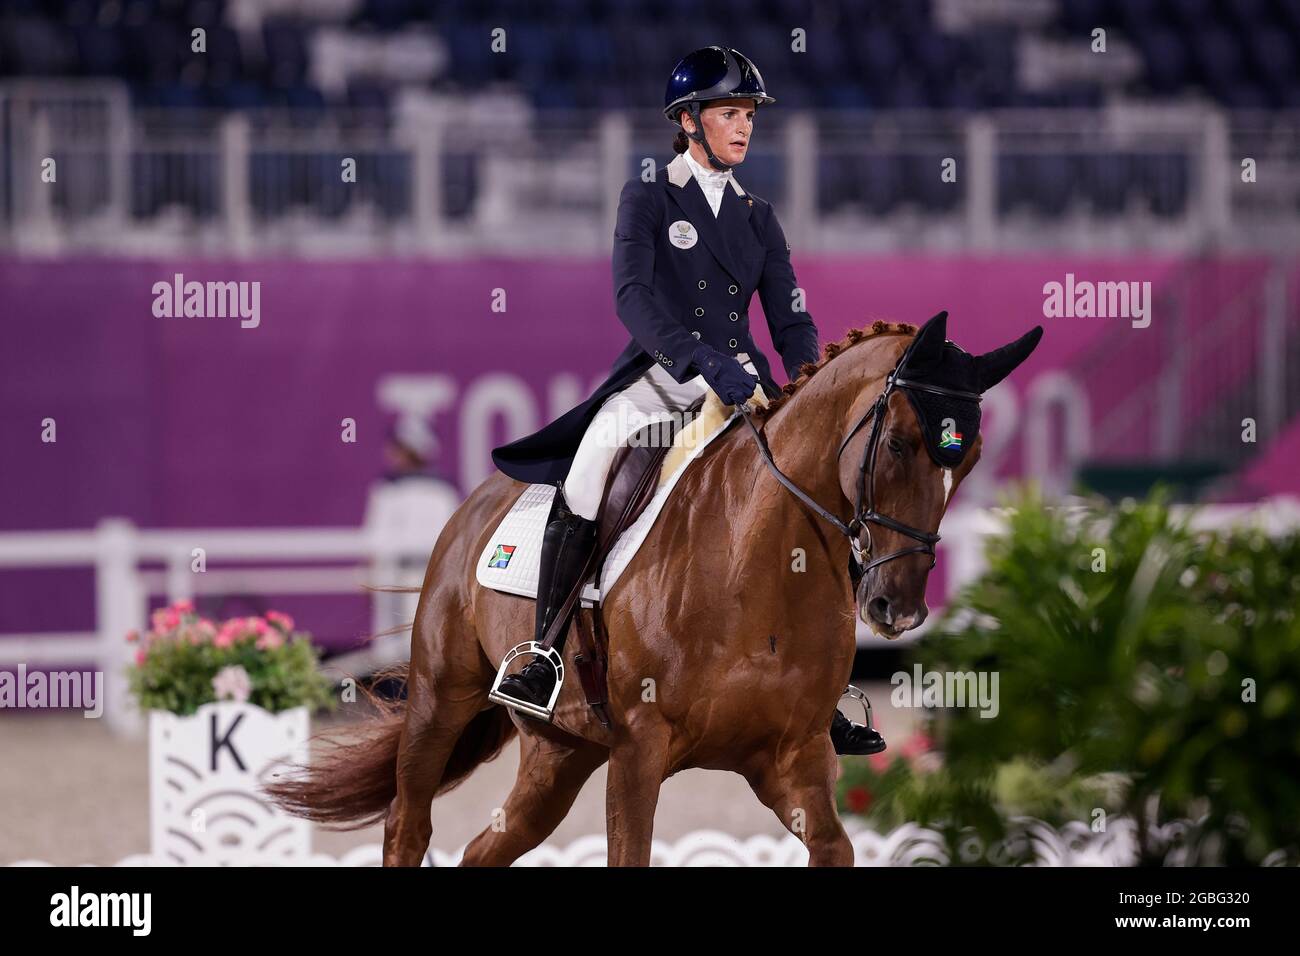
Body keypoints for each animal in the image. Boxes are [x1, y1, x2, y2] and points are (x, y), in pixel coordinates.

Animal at [269, 316, 1040, 868]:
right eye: (901, 443)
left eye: (970, 459)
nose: (897, 609)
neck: (758, 560)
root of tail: (477, 501)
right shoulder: (640, 749)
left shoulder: (791, 758)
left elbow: (834, 845)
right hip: (441, 698)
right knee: (408, 824)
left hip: (561, 752)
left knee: (488, 847)